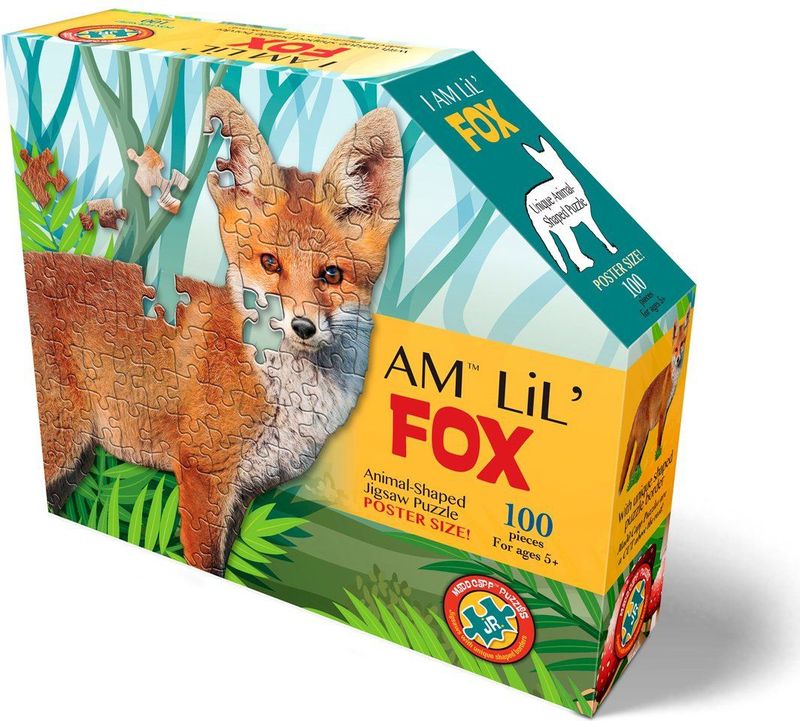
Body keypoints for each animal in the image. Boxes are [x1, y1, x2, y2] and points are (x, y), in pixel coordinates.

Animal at [25, 88, 403, 574]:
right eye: (269, 263)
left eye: (332, 274)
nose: (302, 326)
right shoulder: (204, 475)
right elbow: (204, 562)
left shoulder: (243, 491)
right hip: (61, 447)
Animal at [618, 309, 691, 494]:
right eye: (674, 348)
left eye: (683, 343)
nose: (677, 359)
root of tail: (634, 420)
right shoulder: (662, 410)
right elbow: (659, 437)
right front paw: (659, 453)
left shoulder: (667, 408)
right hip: (642, 438)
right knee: (630, 471)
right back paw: (628, 489)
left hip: (642, 442)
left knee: (634, 468)